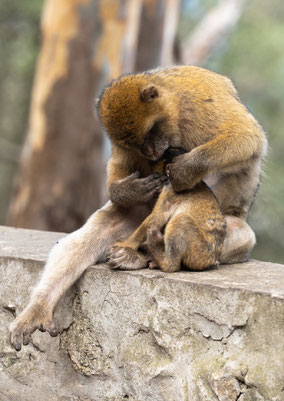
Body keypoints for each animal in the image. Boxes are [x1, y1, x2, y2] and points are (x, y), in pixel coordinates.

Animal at [8, 66, 266, 350]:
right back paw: (39, 307)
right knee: (86, 238)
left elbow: (247, 137)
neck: (173, 106)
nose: (151, 153)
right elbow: (118, 171)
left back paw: (144, 256)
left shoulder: (198, 105)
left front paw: (186, 170)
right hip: (135, 219)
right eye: (136, 144)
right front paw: (128, 191)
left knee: (239, 233)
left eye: (151, 132)